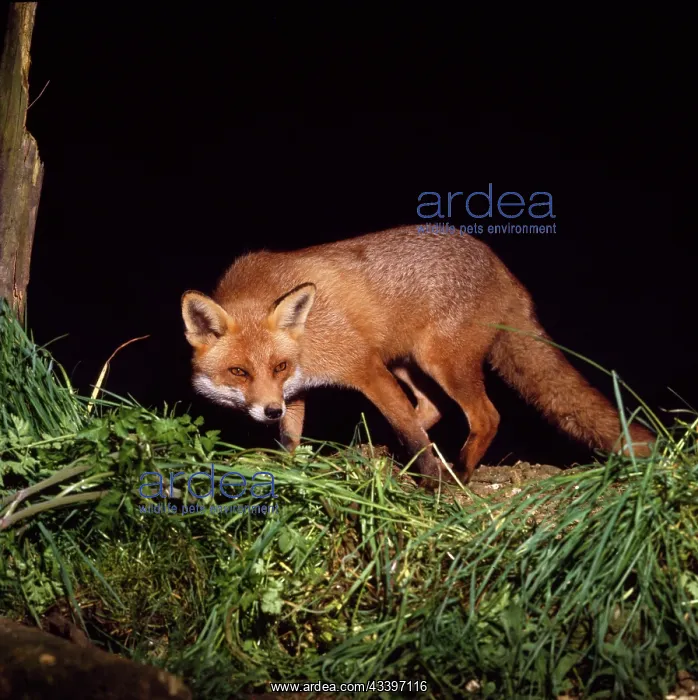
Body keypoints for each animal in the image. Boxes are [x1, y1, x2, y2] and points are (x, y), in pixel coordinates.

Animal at [181, 226, 654, 487]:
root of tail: (504, 271)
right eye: (239, 372)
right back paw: (379, 452)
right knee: (431, 408)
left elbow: (409, 429)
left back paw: (458, 473)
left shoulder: (363, 366)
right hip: (408, 364)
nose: (269, 411)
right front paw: (288, 469)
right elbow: (290, 440)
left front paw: (431, 482)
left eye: (276, 366)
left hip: (438, 363)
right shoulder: (297, 391)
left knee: (483, 416)